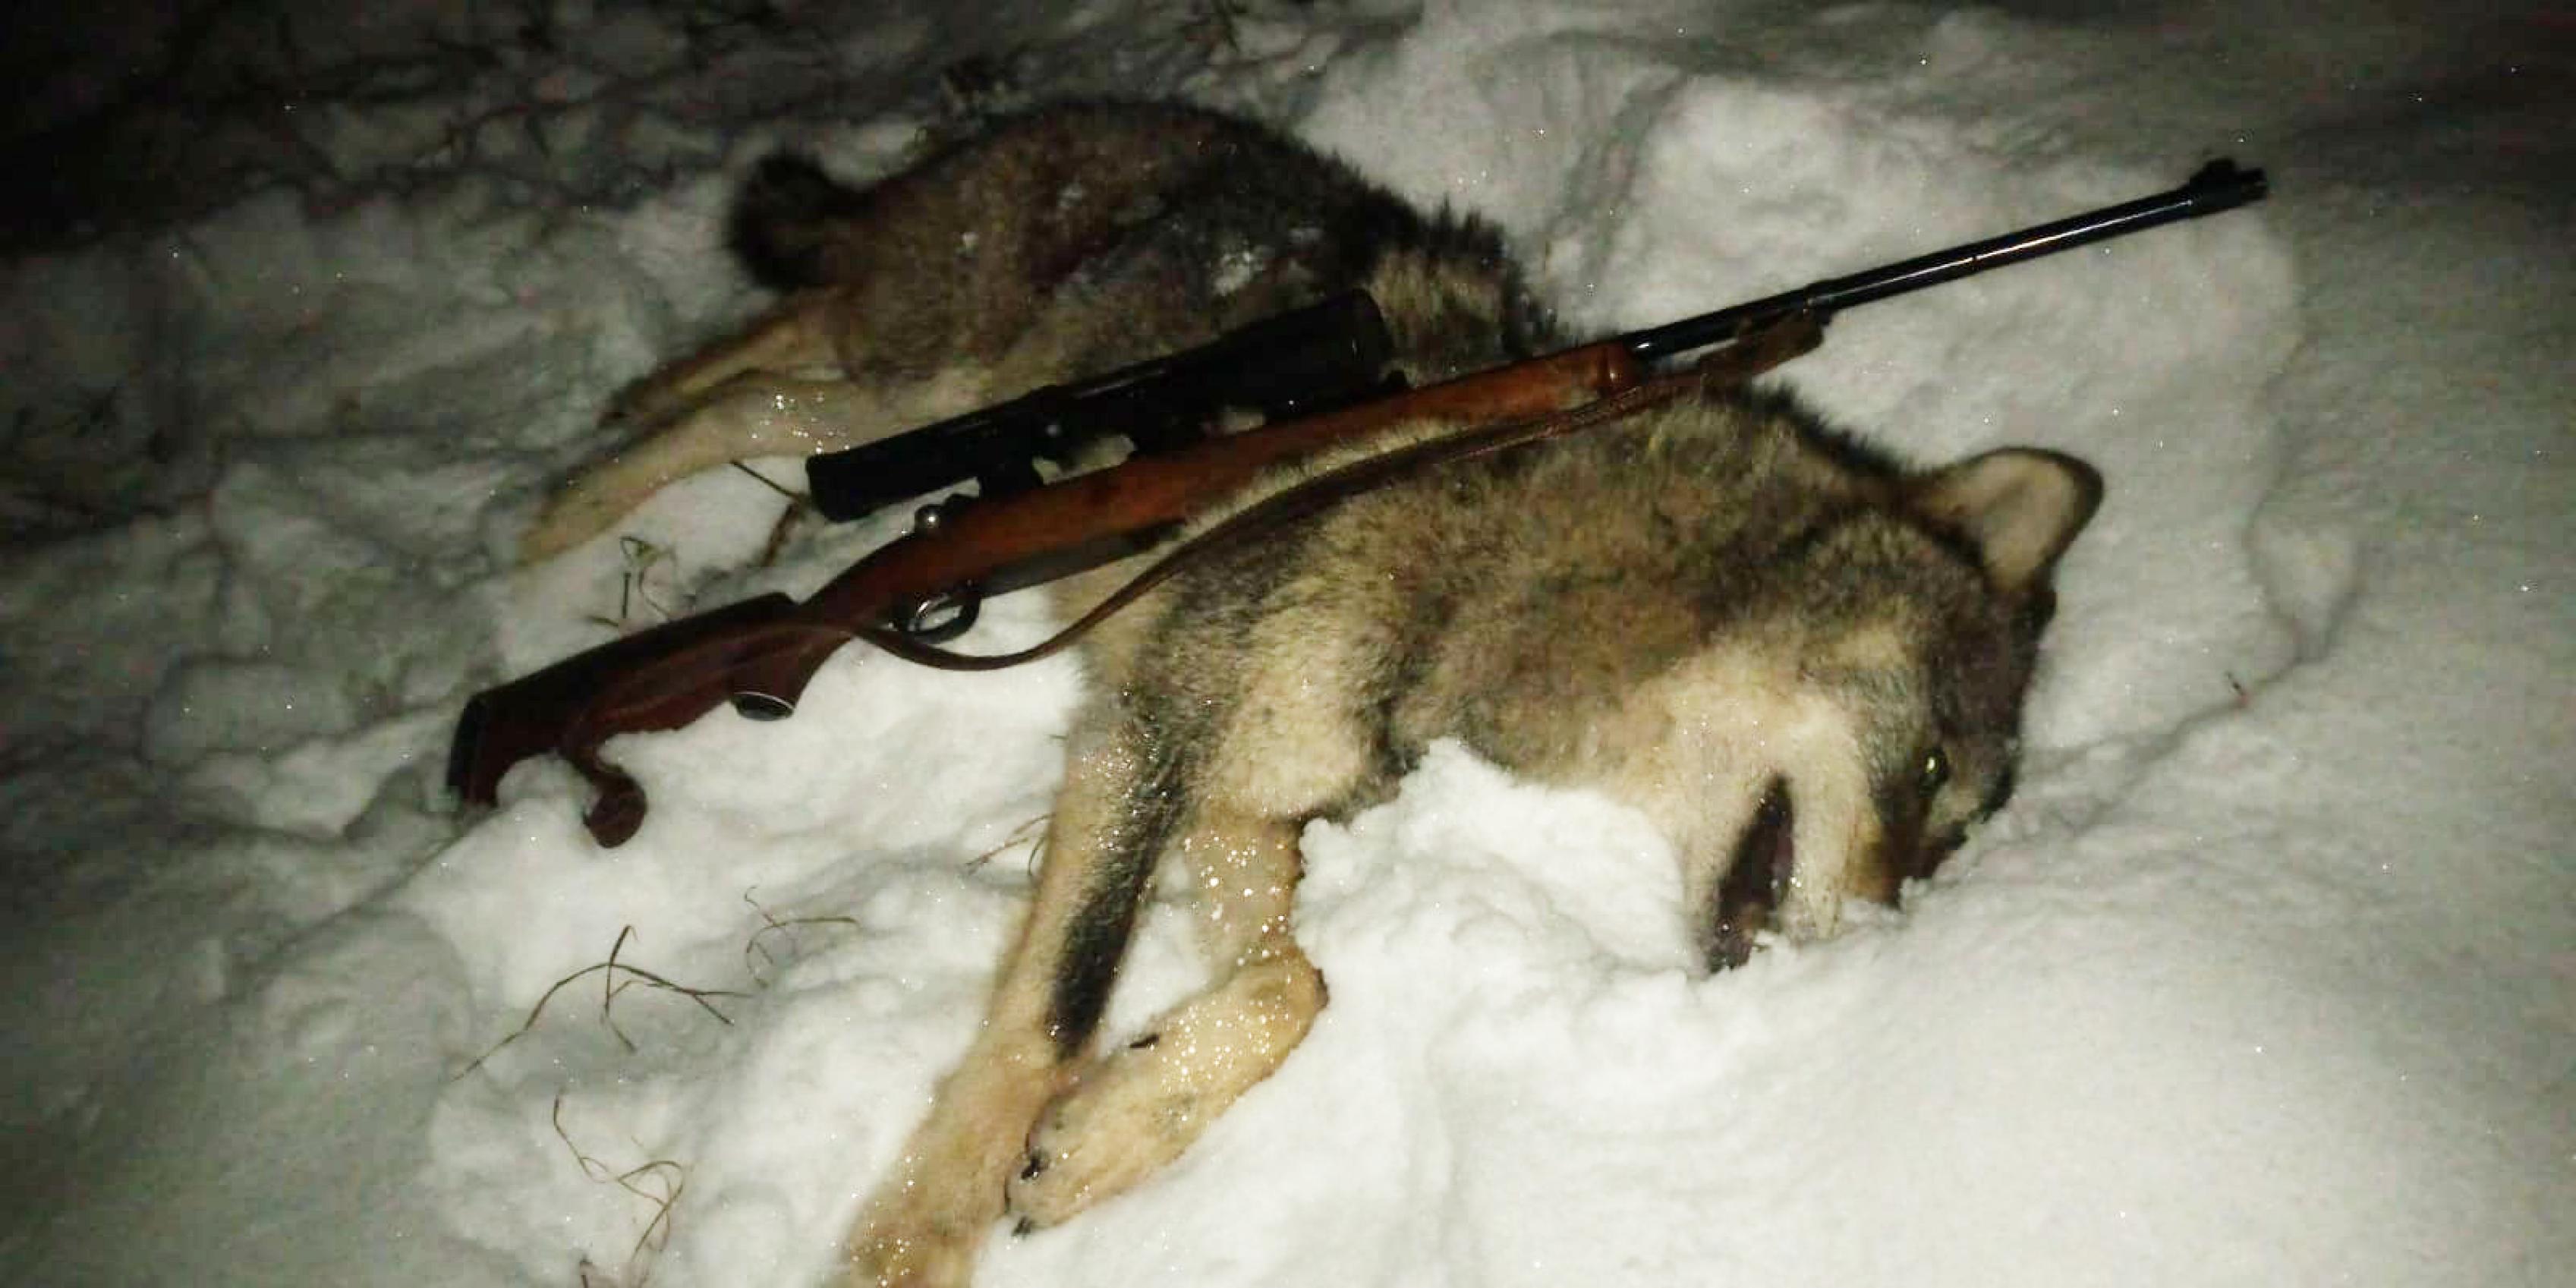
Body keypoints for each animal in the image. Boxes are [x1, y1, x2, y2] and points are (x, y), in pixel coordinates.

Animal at [533, 102, 2102, 1288]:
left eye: (1954, 836)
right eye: (1927, 775)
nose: (1885, 947)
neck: (1507, 556)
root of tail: (1047, 113)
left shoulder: (1245, 806)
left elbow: (1293, 987)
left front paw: (1110, 1131)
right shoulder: (1151, 733)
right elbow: (1057, 1007)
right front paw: (915, 1233)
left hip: (903, 386)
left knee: (772, 373)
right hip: (919, 389)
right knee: (756, 399)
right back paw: (553, 521)